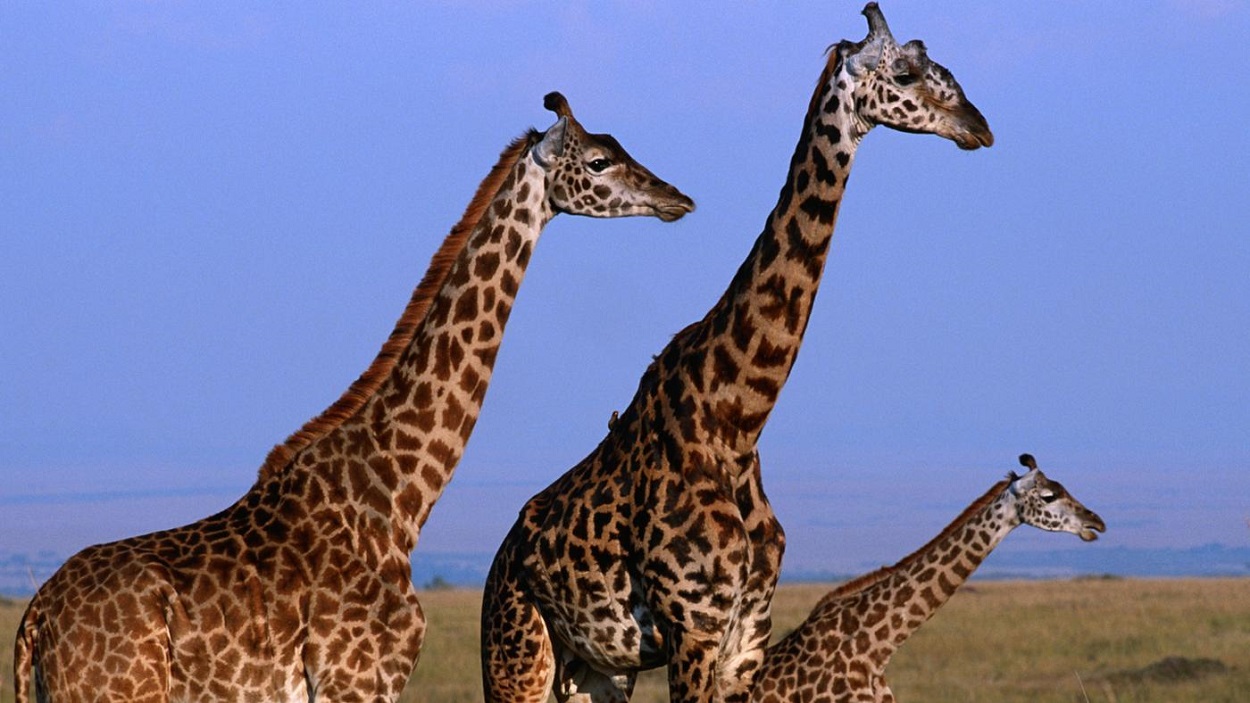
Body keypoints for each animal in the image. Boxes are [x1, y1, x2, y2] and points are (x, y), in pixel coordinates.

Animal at [480, 5, 993, 703]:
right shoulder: (692, 630)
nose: (979, 127)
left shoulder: (747, 637)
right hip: (515, 653)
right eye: (908, 73)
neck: (738, 418)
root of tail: (498, 560)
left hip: (592, 669)